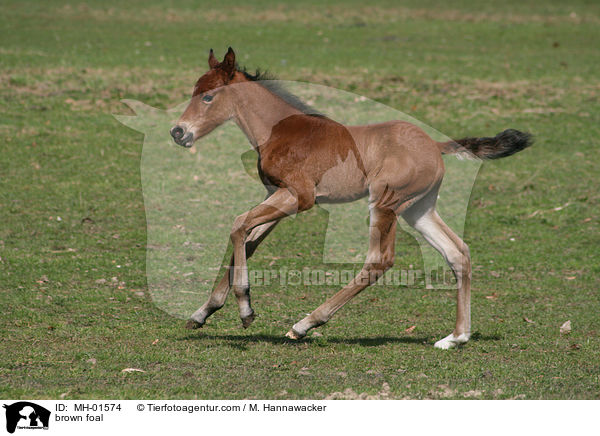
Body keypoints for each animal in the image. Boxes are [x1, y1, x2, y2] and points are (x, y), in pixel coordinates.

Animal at [171, 47, 532, 350]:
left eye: (208, 96)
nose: (178, 132)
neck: (279, 130)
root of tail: (435, 144)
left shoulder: (299, 197)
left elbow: (237, 226)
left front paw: (245, 310)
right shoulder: (276, 194)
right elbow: (247, 241)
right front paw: (203, 313)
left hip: (385, 203)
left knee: (379, 260)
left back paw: (305, 324)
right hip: (419, 209)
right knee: (458, 252)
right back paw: (456, 337)